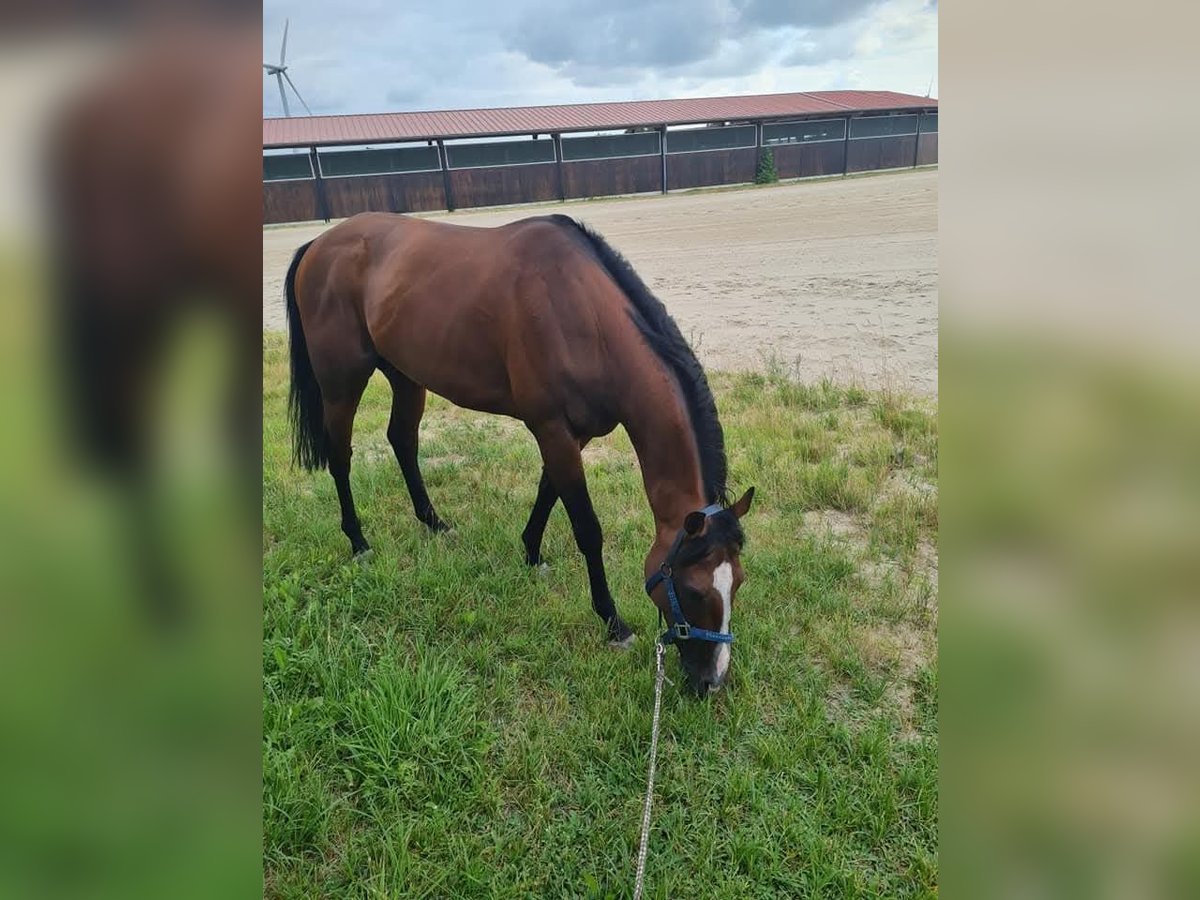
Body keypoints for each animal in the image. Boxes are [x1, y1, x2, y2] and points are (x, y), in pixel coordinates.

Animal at [285, 213, 753, 696]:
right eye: (694, 591)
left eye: (737, 582)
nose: (712, 682)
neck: (583, 315)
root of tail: (318, 243)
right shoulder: (552, 429)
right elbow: (587, 528)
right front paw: (613, 622)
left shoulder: (573, 435)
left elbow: (548, 491)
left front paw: (531, 553)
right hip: (341, 382)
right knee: (341, 457)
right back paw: (358, 541)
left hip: (405, 374)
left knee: (402, 440)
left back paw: (434, 522)